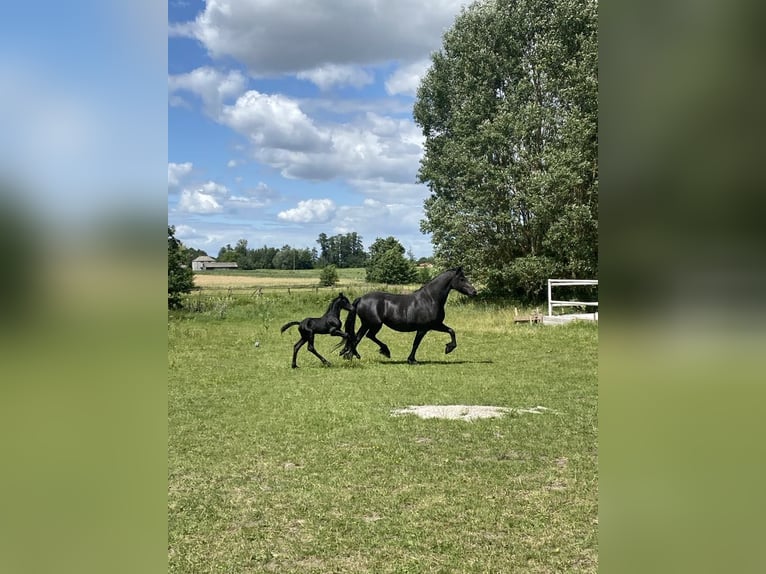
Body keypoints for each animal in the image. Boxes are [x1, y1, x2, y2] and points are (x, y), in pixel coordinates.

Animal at [339, 267, 478, 364]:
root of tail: (361, 299)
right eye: (462, 279)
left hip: (367, 324)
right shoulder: (423, 328)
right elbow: (416, 343)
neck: (430, 299)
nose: (474, 292)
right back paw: (384, 351)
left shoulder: (436, 325)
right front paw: (412, 360)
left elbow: (451, 331)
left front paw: (448, 348)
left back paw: (350, 355)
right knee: (367, 336)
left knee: (358, 337)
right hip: (374, 324)